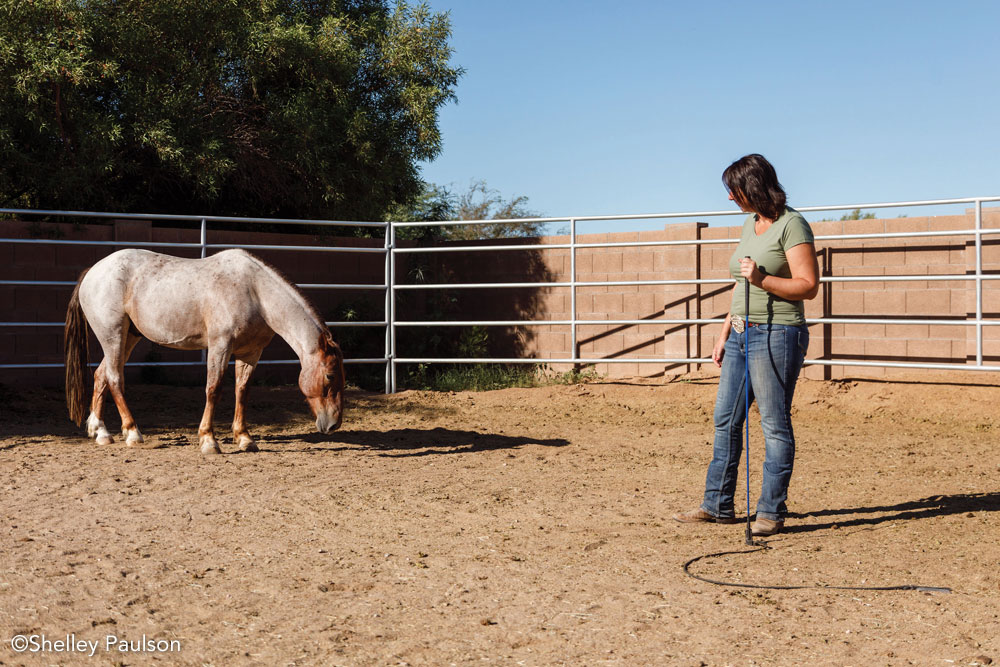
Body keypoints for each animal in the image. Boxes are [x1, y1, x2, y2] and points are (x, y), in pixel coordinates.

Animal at [63, 248, 344, 456]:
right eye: (329, 376)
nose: (333, 424)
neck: (254, 292)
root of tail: (92, 272)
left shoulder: (250, 353)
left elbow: (242, 392)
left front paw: (244, 438)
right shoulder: (220, 346)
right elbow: (214, 389)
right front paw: (209, 441)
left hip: (127, 338)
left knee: (101, 376)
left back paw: (100, 432)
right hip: (113, 336)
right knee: (114, 379)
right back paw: (132, 433)